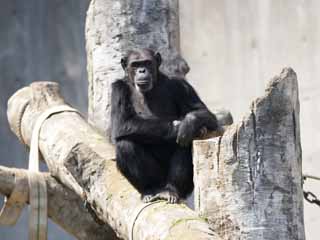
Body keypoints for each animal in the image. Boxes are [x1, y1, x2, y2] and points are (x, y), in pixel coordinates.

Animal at [110, 49, 218, 204]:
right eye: (135, 64)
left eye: (147, 63)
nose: (142, 70)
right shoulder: (118, 88)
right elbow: (122, 123)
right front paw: (177, 127)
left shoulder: (180, 84)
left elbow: (205, 113)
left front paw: (188, 124)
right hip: (157, 178)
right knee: (125, 145)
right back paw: (150, 190)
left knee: (186, 142)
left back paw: (172, 190)